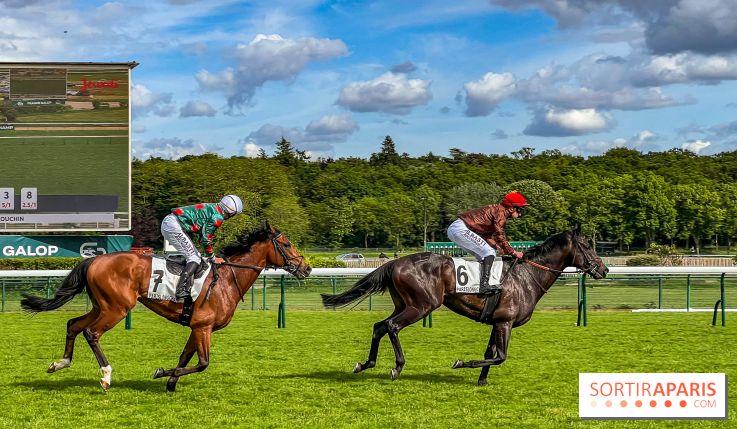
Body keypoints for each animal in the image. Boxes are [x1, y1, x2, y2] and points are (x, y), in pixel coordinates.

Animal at [21, 223, 311, 392]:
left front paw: (171, 382)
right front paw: (162, 373)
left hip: (101, 305)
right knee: (91, 333)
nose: (306, 268)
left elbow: (185, 357)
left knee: (74, 325)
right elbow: (203, 363)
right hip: (117, 308)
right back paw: (105, 376)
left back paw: (60, 363)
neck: (228, 279)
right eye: (286, 244)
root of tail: (93, 260)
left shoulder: (197, 327)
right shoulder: (203, 326)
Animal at [321, 225, 607, 386]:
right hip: (422, 306)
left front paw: (482, 381)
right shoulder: (505, 322)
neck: (527, 276)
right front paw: (461, 364)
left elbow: (491, 353)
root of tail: (393, 262)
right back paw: (397, 366)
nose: (603, 269)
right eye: (586, 245)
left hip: (404, 303)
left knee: (379, 326)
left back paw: (365, 364)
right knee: (391, 326)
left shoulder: (497, 321)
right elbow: (501, 356)